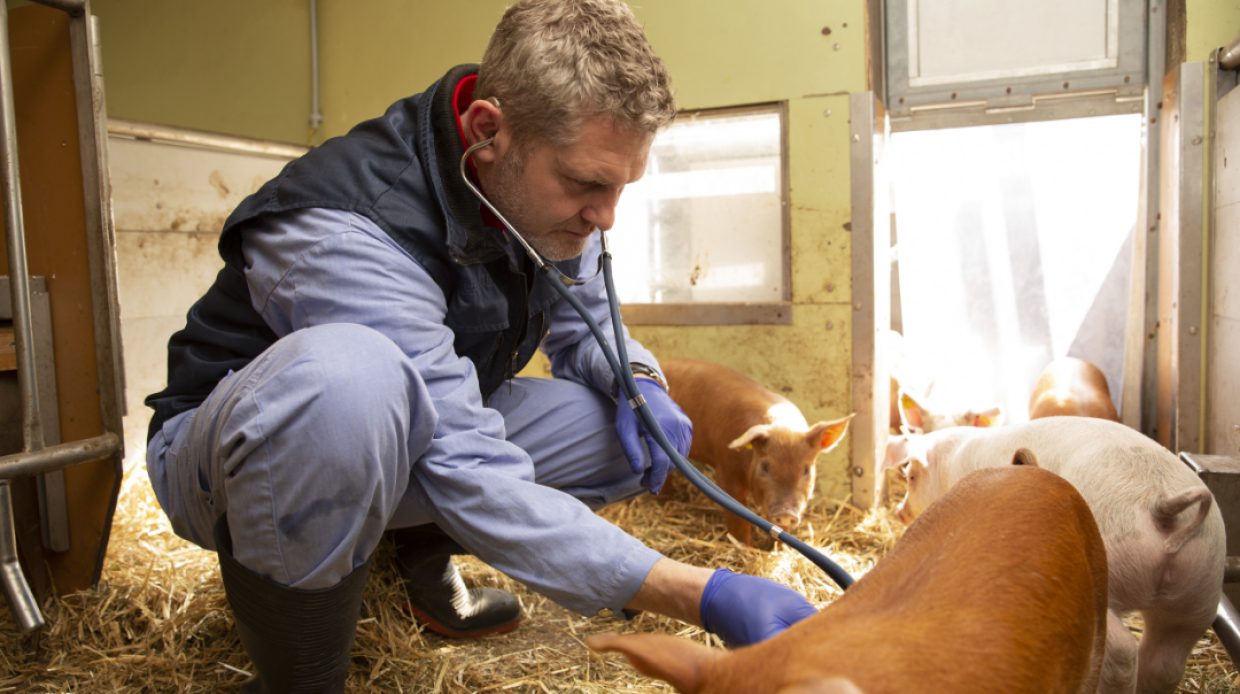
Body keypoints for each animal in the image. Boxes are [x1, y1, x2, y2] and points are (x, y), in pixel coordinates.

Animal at [887, 416, 1225, 694]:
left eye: (911, 477)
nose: (899, 511)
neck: (952, 464)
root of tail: (1160, 507)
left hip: (1108, 575)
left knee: (1122, 650)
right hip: (1199, 589)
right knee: (1165, 663)